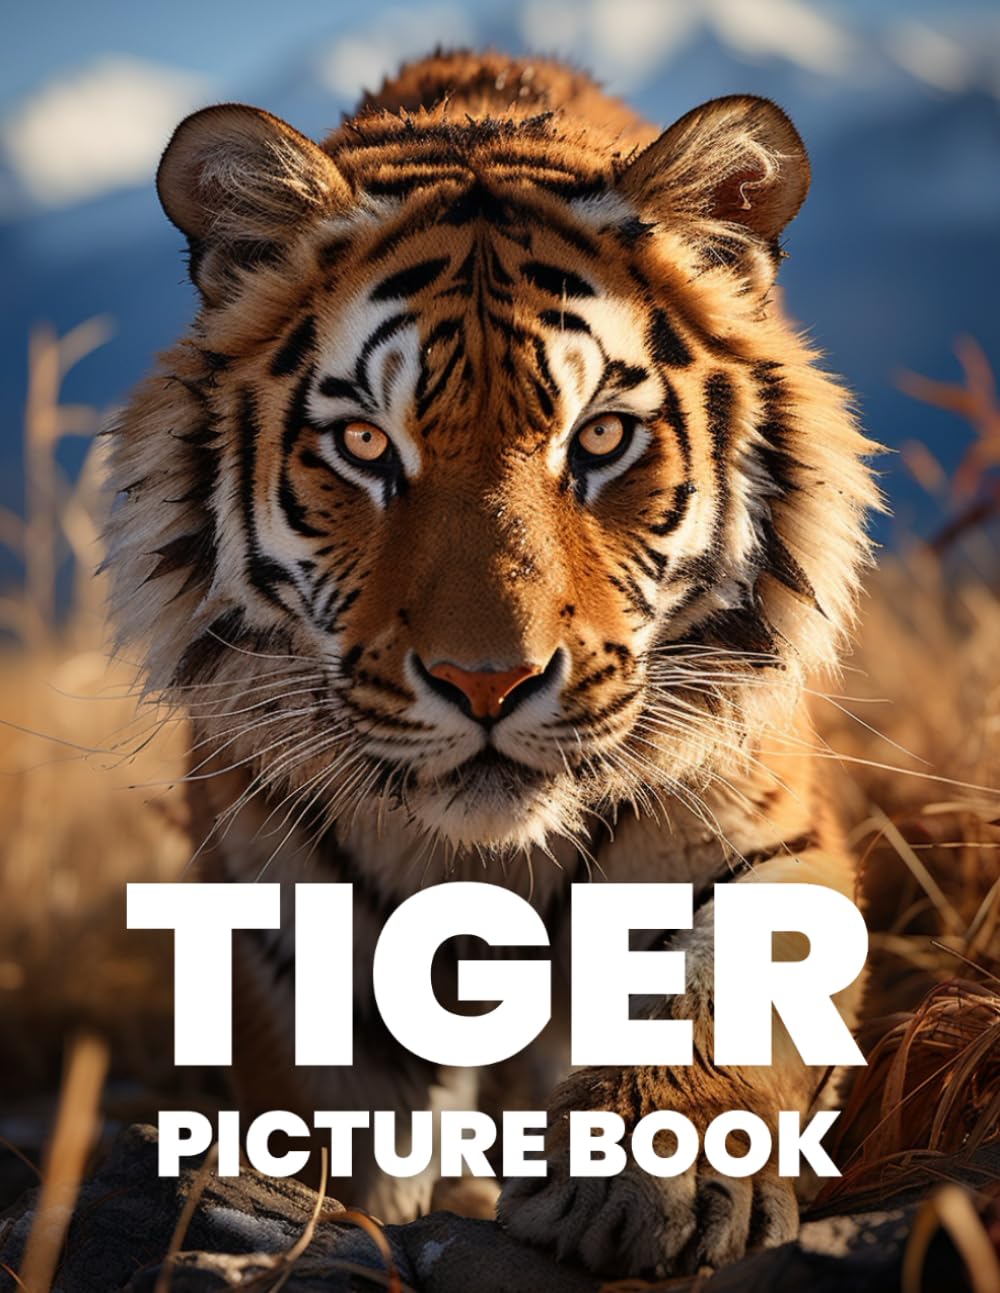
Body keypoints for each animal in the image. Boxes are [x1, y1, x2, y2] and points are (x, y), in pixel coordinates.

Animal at [106, 49, 878, 1277]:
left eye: (599, 438)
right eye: (364, 444)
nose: (486, 685)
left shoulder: (761, 824)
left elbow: (721, 994)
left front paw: (649, 1176)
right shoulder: (273, 903)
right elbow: (332, 1118)